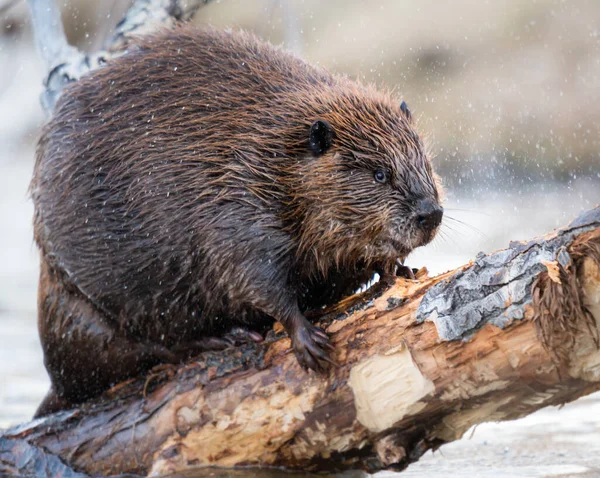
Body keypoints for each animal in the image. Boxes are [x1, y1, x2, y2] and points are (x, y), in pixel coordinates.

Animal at [30, 26, 442, 416]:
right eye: (380, 174)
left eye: (424, 160)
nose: (431, 213)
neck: (276, 154)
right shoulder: (239, 205)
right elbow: (252, 275)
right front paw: (308, 341)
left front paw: (401, 270)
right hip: (83, 306)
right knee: (144, 349)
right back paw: (226, 337)